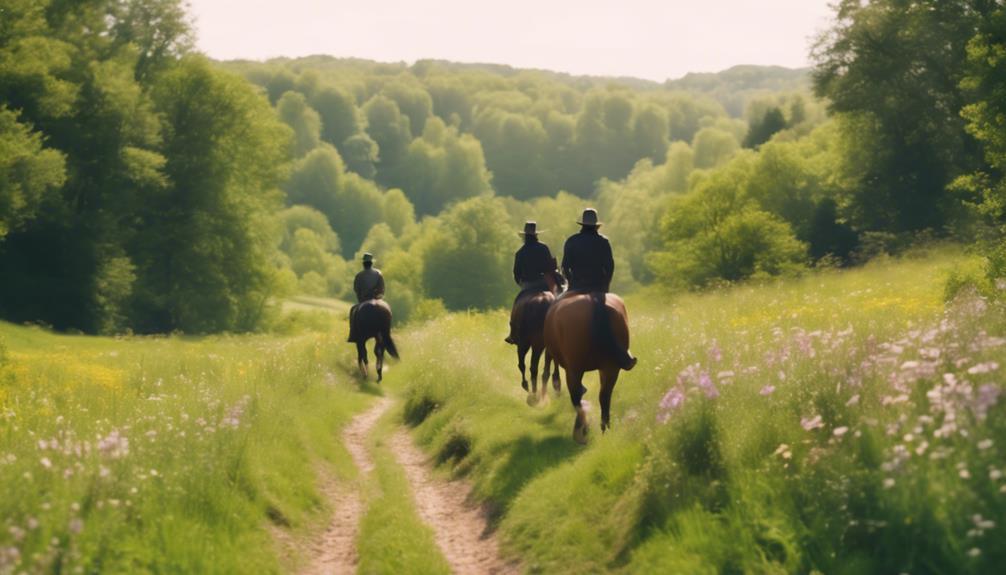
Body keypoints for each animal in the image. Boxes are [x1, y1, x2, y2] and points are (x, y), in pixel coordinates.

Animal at [547, 291, 631, 444]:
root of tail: (594, 300)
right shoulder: (604, 367)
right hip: (610, 367)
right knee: (604, 396)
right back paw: (604, 428)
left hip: (574, 369)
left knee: (576, 397)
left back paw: (581, 430)